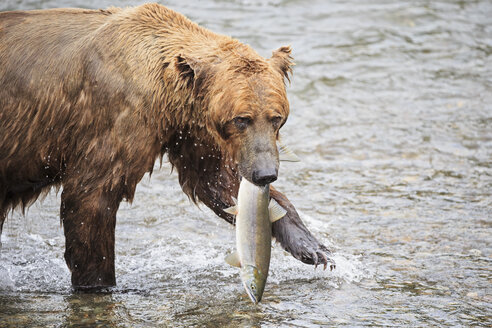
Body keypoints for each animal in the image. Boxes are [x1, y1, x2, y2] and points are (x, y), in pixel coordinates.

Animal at [0, 2, 334, 290]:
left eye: (277, 118)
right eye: (241, 119)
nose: (265, 174)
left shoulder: (188, 131)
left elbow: (217, 184)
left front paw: (313, 247)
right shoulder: (118, 119)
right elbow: (90, 198)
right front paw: (99, 283)